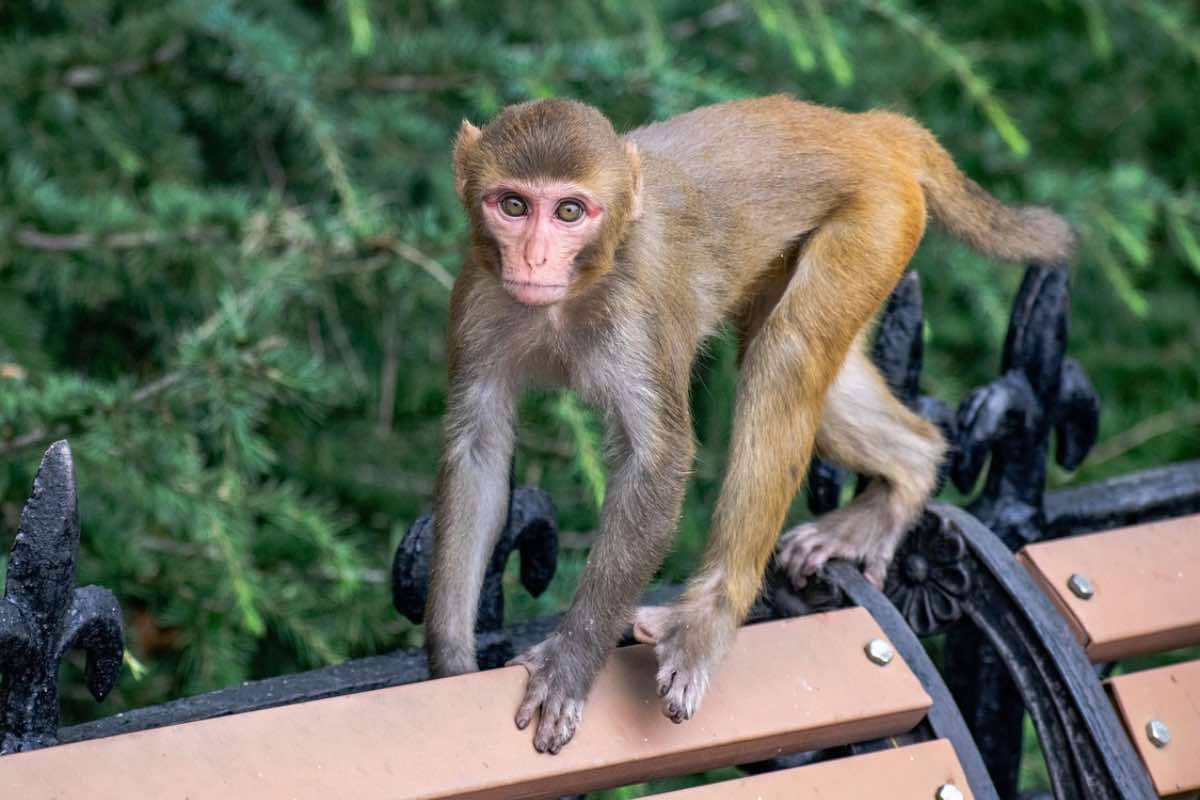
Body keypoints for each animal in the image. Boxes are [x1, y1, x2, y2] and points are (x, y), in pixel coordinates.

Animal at [424, 96, 1073, 754]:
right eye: (512, 205)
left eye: (570, 211)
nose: (532, 259)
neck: (572, 295)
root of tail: (863, 126)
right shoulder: (477, 294)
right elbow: (477, 450)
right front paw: (452, 667)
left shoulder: (637, 310)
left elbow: (658, 464)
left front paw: (569, 667)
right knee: (806, 365)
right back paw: (910, 471)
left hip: (876, 219)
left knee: (785, 353)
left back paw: (706, 624)